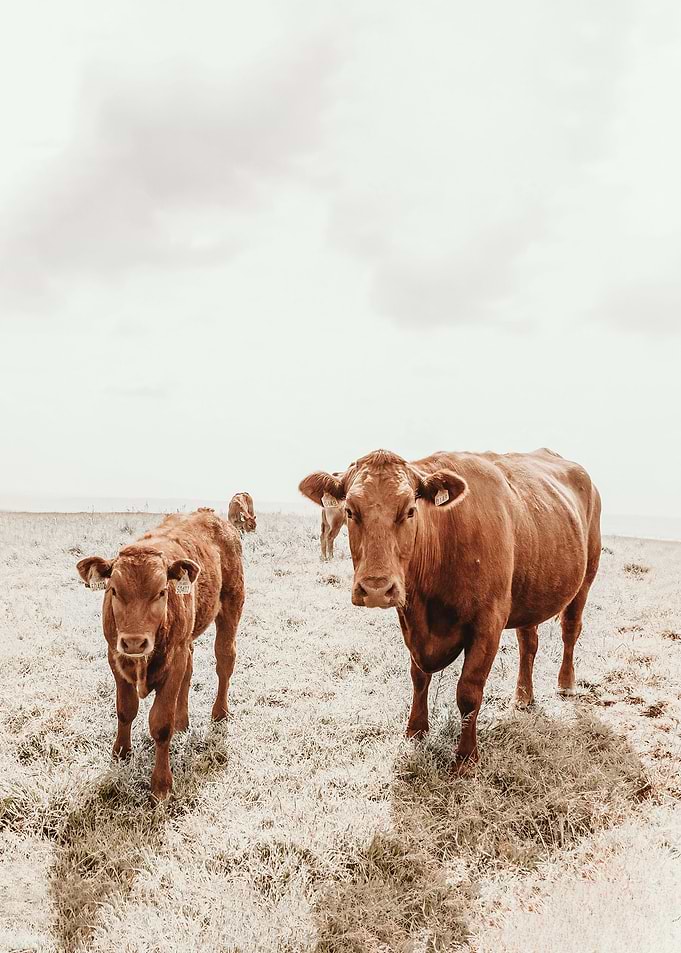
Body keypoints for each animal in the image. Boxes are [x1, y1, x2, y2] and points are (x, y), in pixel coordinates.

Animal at [77, 508, 244, 800]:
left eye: (162, 591)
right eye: (113, 590)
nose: (134, 642)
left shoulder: (173, 660)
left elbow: (161, 724)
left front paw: (161, 784)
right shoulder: (115, 656)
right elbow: (125, 710)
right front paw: (121, 753)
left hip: (231, 607)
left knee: (225, 660)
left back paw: (220, 713)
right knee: (190, 670)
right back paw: (183, 720)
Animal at [299, 448, 601, 770]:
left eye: (410, 510)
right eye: (350, 511)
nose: (377, 589)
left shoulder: (487, 625)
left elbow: (468, 691)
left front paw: (466, 756)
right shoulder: (411, 623)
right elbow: (419, 677)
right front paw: (416, 730)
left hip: (586, 578)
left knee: (570, 630)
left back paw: (566, 684)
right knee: (528, 643)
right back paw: (523, 696)